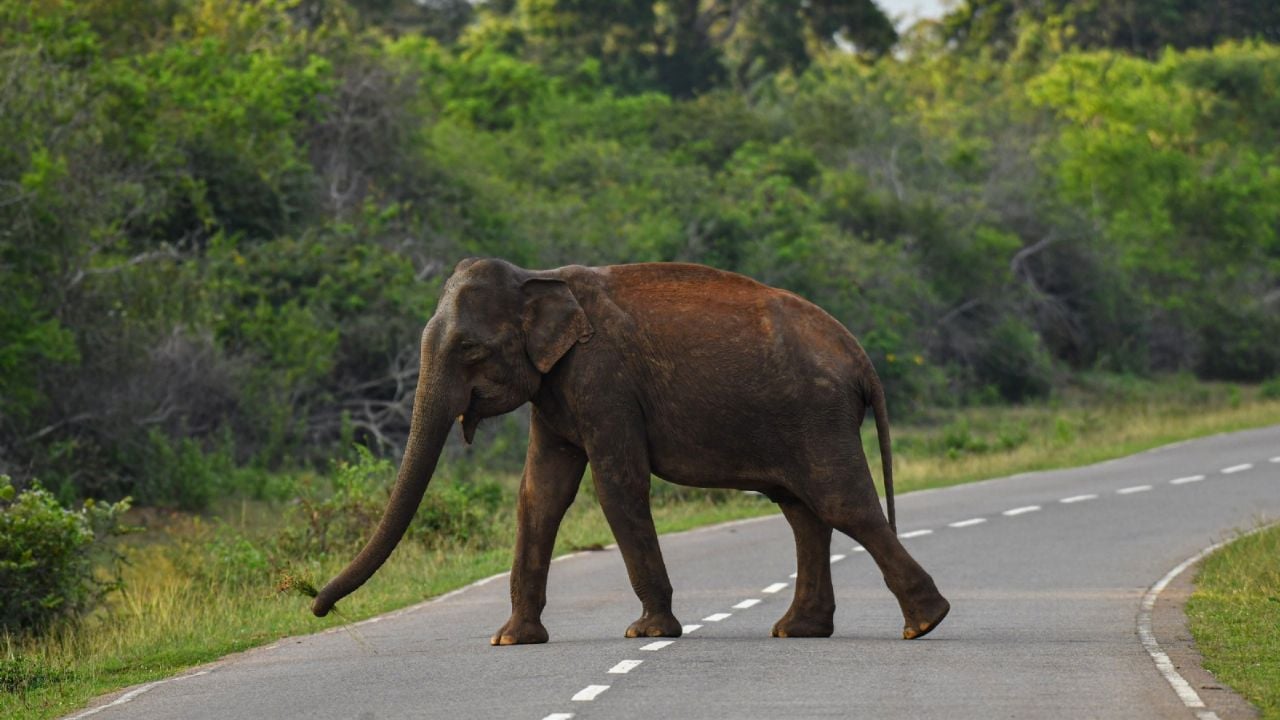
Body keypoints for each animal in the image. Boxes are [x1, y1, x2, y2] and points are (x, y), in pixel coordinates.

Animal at [312, 258, 950, 644]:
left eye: (470, 349)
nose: (318, 608)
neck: (539, 276)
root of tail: (860, 356)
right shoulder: (555, 390)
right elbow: (539, 496)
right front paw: (511, 639)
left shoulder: (602, 379)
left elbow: (616, 485)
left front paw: (648, 632)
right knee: (803, 511)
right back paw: (798, 630)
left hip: (816, 413)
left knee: (840, 503)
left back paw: (923, 624)